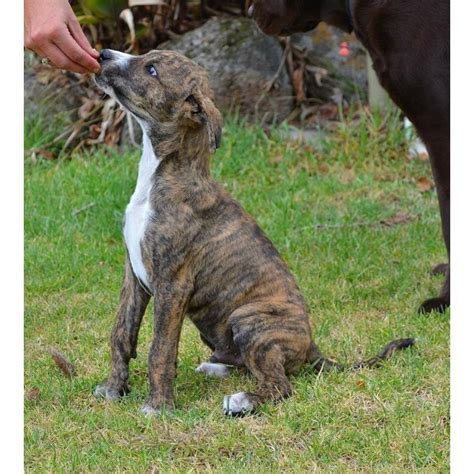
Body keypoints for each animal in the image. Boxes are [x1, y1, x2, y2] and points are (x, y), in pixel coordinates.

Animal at [93, 50, 414, 416]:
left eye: (151, 69)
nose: (103, 54)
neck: (164, 177)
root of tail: (311, 346)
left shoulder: (172, 285)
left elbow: (160, 349)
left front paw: (158, 406)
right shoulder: (134, 275)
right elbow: (121, 333)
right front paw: (114, 387)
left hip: (248, 318)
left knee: (279, 384)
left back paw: (242, 401)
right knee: (252, 365)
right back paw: (216, 368)